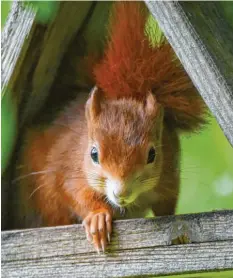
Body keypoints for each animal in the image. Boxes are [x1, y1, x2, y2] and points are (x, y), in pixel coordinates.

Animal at [17, 2, 206, 253]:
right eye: (93, 154)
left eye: (152, 155)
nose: (121, 193)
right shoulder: (69, 167)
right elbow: (76, 193)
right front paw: (98, 218)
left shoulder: (169, 175)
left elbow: (168, 203)